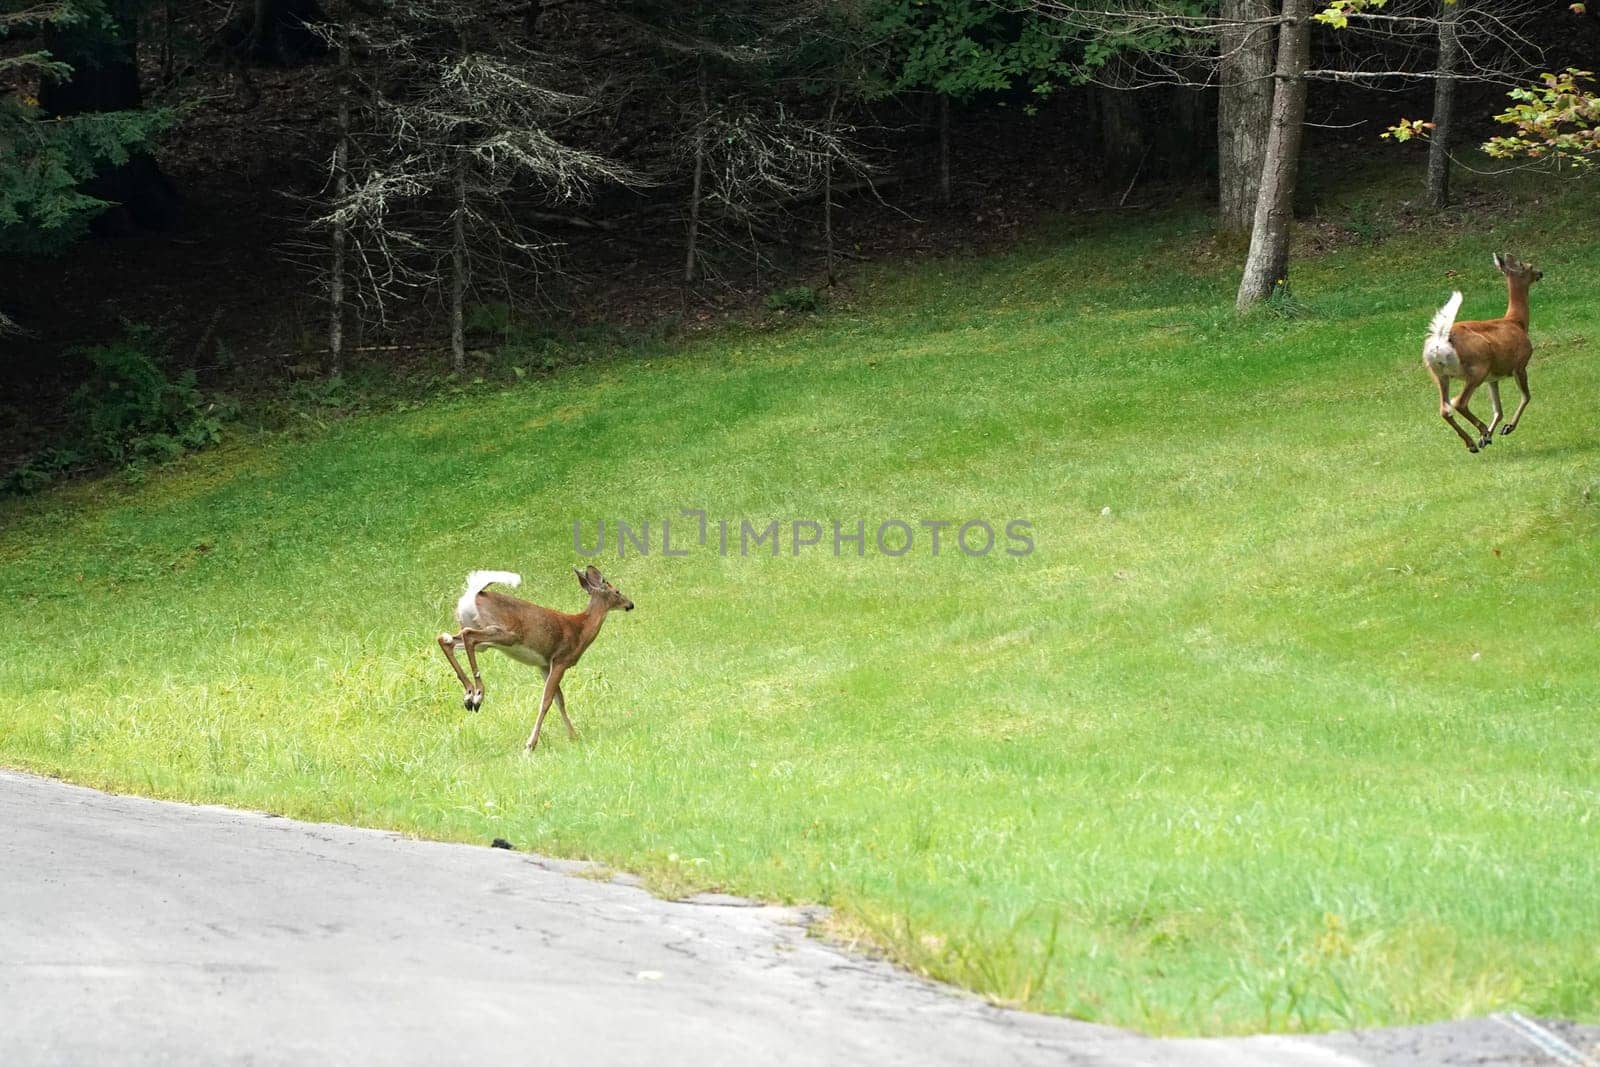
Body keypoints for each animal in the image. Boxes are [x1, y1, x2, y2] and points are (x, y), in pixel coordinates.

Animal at [441, 566, 640, 751]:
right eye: (617, 591)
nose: (630, 604)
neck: (581, 629)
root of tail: (473, 593)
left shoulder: (544, 664)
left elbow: (559, 700)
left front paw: (573, 736)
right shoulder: (561, 659)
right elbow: (546, 700)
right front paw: (530, 745)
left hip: (484, 640)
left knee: (446, 639)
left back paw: (468, 695)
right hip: (505, 632)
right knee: (468, 635)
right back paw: (477, 695)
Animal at [1420, 252, 1542, 454]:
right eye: (1529, 266)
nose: (1540, 273)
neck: (1517, 322)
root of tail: (1441, 339)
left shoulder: (1493, 378)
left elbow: (1498, 410)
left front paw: (1488, 438)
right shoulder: (1519, 364)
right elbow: (1526, 397)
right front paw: (1507, 428)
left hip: (1439, 374)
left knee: (1445, 409)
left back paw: (1473, 442)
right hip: (1478, 367)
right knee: (1458, 402)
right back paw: (1482, 430)